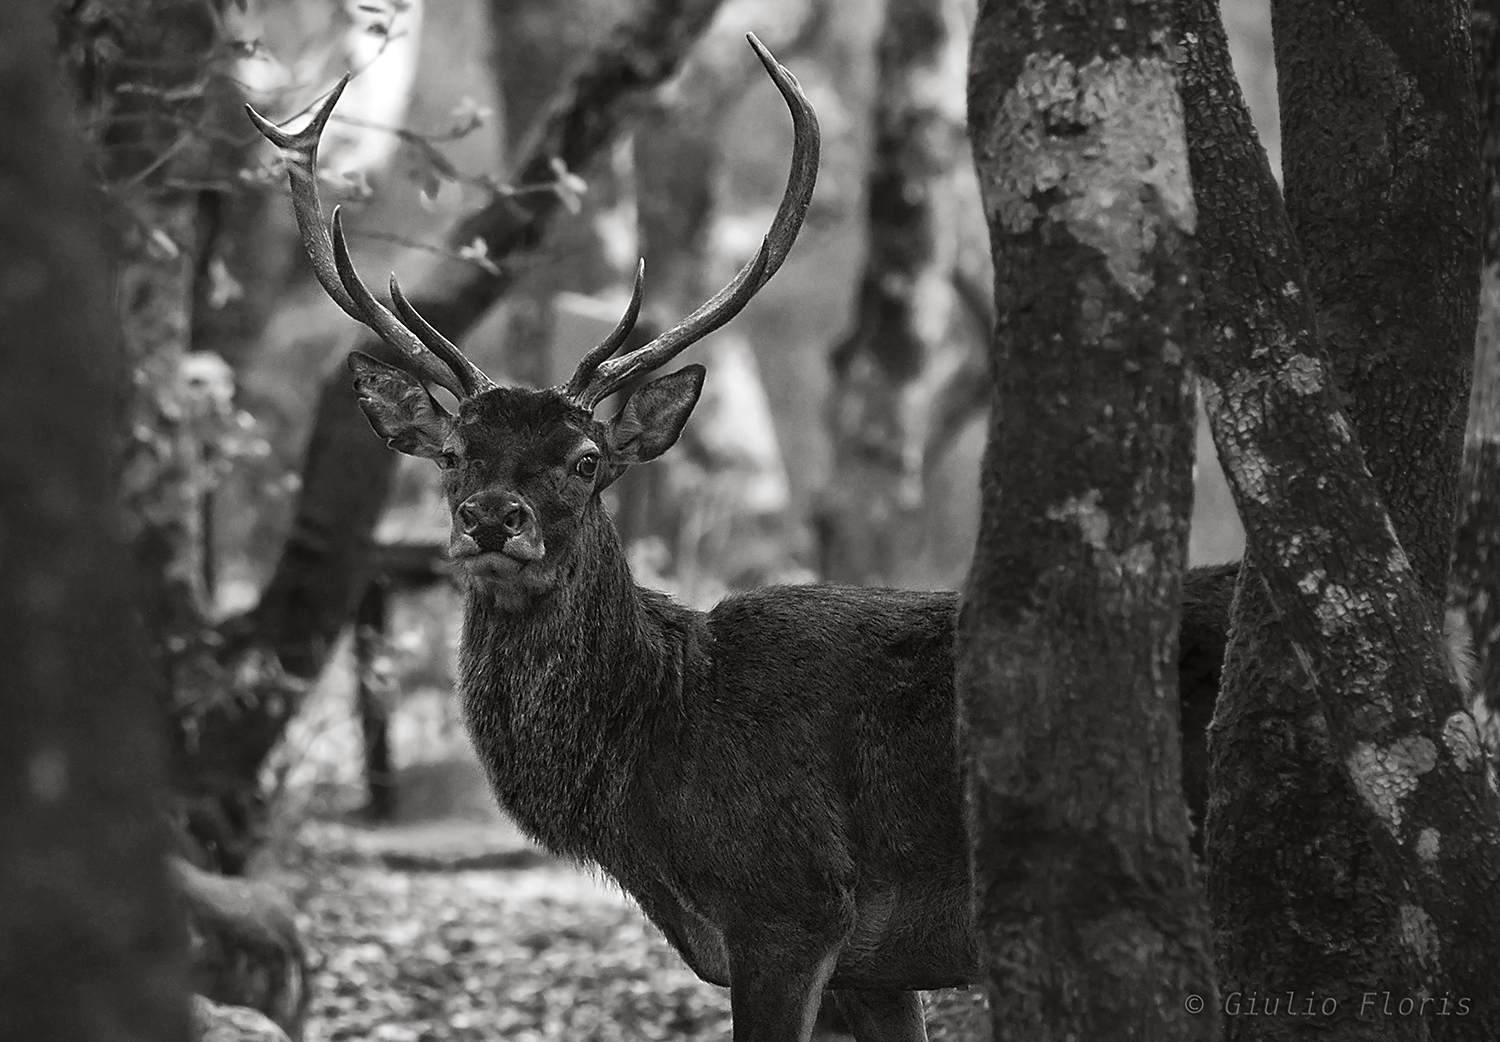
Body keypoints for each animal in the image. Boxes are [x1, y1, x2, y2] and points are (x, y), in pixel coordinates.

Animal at [248, 36, 1232, 1042]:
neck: (661, 760)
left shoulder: (790, 905)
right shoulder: (876, 964)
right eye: (450, 454)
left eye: (587, 460)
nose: (491, 518)